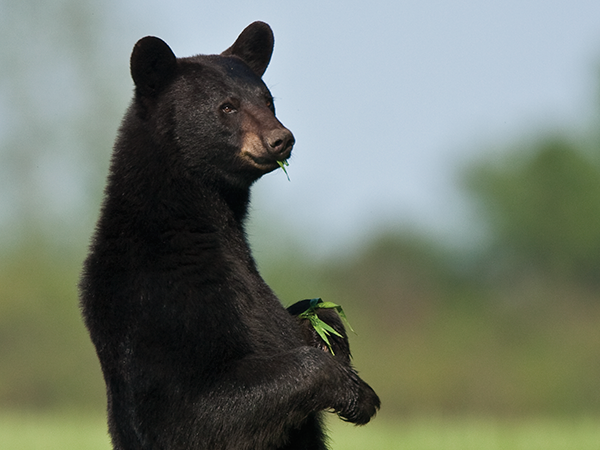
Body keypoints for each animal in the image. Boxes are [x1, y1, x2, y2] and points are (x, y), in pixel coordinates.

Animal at [79, 22, 380, 450]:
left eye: (269, 100)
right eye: (227, 106)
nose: (281, 138)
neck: (189, 224)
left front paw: (327, 328)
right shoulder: (158, 303)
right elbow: (199, 412)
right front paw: (356, 393)